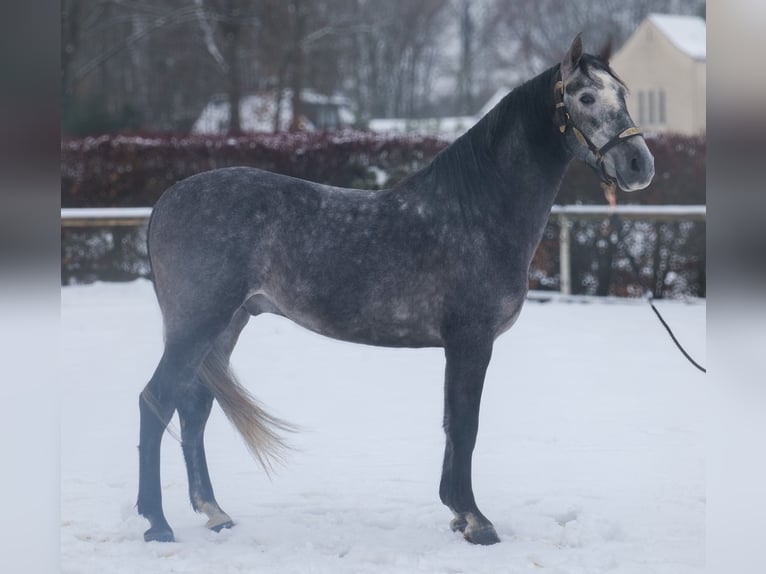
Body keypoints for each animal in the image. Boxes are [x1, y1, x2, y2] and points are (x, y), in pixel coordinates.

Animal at [137, 35, 654, 546]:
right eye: (585, 98)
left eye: (623, 93)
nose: (639, 164)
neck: (477, 209)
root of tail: (167, 199)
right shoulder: (471, 341)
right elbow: (465, 425)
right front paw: (476, 521)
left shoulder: (459, 346)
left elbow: (452, 424)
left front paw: (458, 513)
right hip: (197, 325)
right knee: (156, 400)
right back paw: (157, 524)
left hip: (227, 325)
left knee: (194, 407)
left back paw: (214, 512)